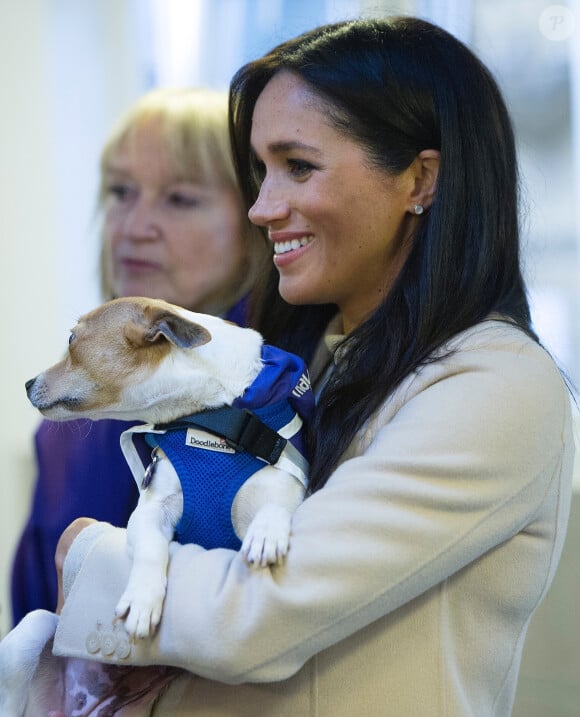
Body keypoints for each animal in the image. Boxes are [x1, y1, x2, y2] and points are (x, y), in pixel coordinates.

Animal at [0, 296, 312, 716]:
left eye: (71, 340)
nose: (26, 383)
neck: (214, 418)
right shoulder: (150, 509)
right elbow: (151, 547)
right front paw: (143, 599)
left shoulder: (289, 486)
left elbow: (277, 507)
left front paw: (266, 534)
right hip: (31, 632)